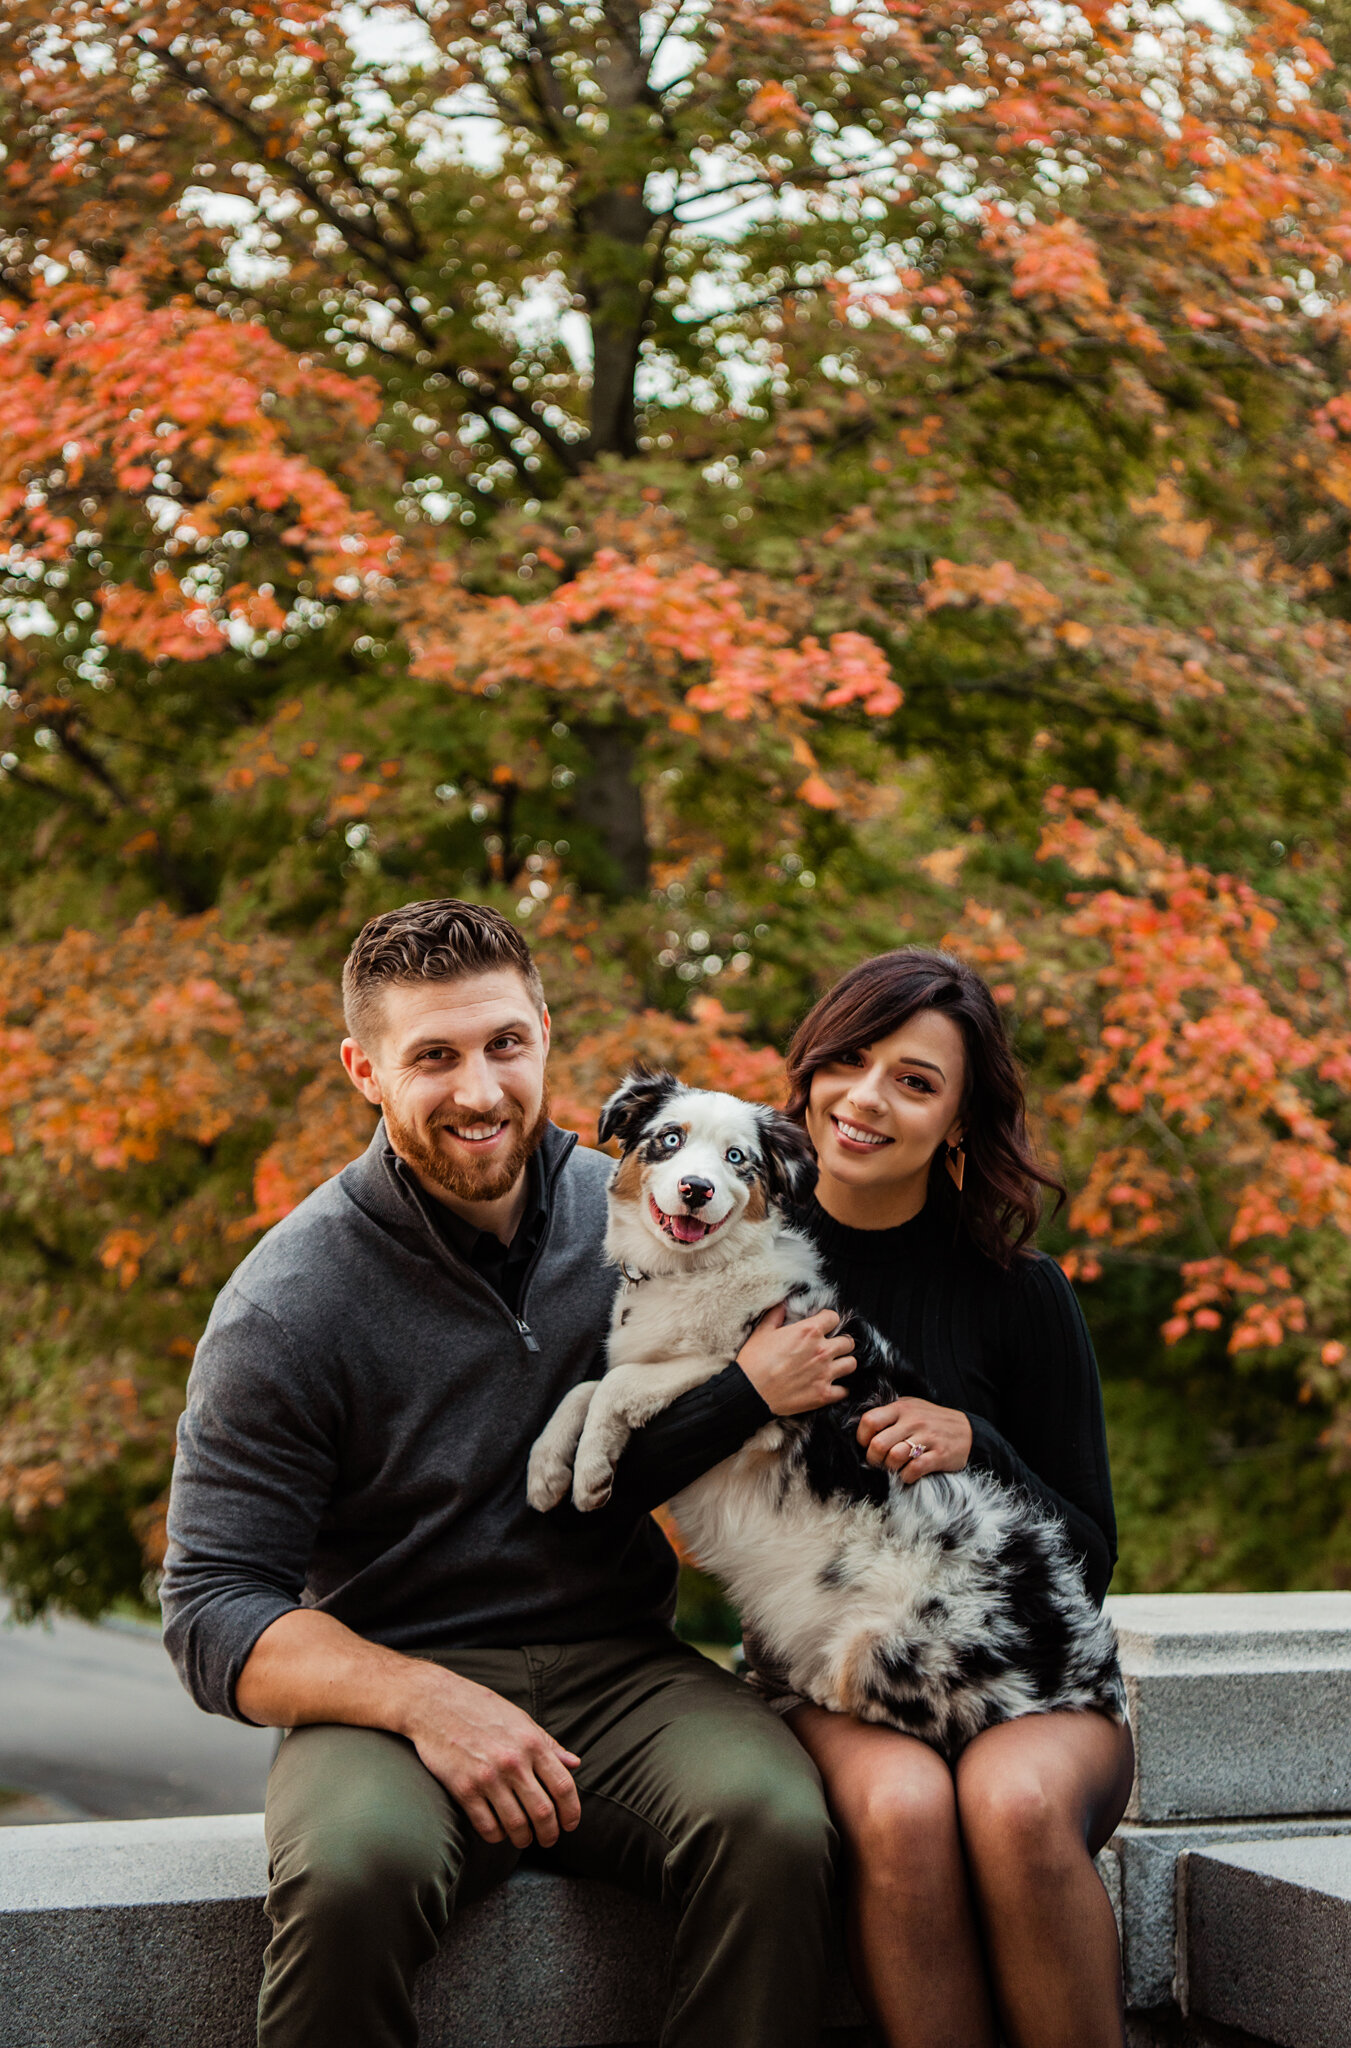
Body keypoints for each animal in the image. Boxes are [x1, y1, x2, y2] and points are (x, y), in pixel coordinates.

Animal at [532, 1073, 1129, 1761]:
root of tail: (1095, 1677)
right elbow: (583, 1390)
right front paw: (546, 1471)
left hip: (886, 1646)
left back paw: (809, 1680)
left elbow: (616, 1384)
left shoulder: (741, 1376)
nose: (697, 1188)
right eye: (670, 1140)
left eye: (737, 1158)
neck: (694, 1275)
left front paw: (591, 1474)